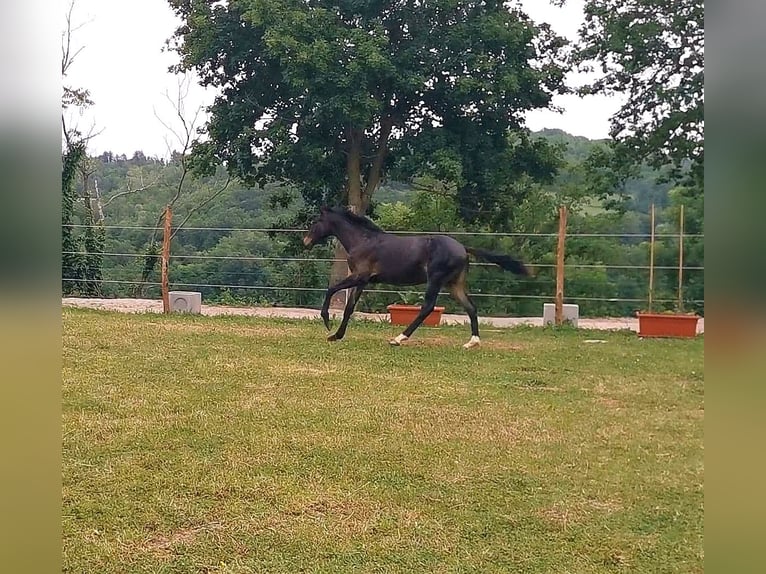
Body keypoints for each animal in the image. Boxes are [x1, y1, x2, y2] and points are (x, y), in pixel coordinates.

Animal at [304, 208, 532, 352]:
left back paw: (398, 339)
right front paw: (336, 335)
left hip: (436, 280)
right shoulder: (362, 281)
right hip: (454, 284)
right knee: (471, 307)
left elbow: (331, 289)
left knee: (428, 307)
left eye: (316, 221)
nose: (305, 241)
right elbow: (349, 308)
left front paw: (326, 321)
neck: (364, 240)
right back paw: (472, 343)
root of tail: (463, 248)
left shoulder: (359, 276)